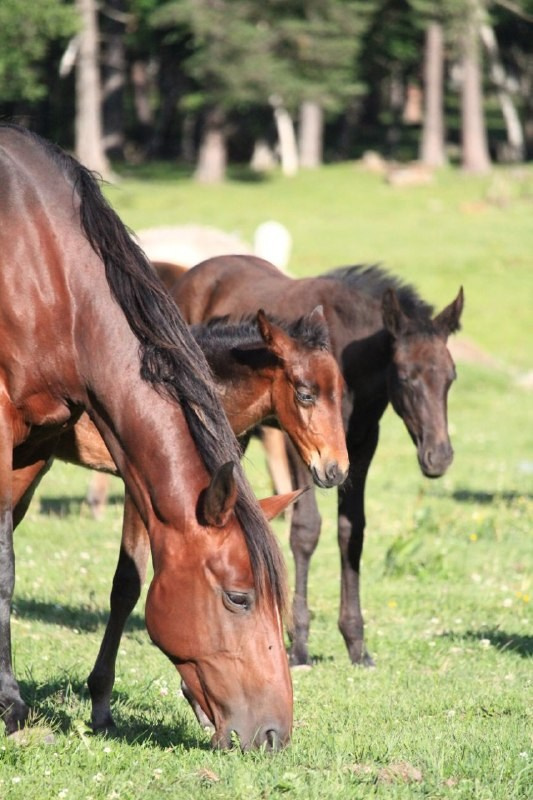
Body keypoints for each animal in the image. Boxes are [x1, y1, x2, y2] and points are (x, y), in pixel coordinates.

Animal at [172, 255, 464, 667]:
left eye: (451, 377)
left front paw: (357, 643)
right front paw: (300, 642)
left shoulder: (361, 444)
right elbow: (306, 530)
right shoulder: (299, 442)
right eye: (407, 377)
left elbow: (351, 531)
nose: (438, 457)